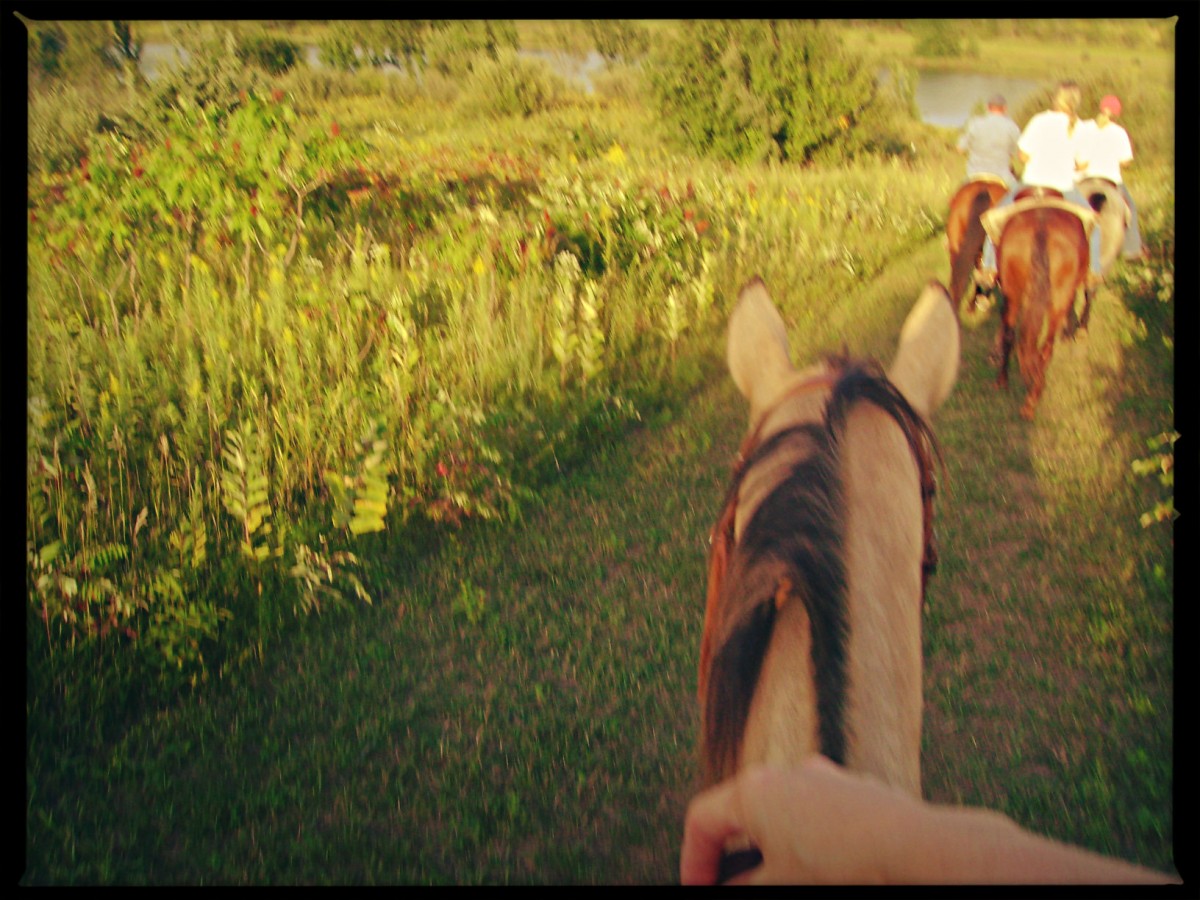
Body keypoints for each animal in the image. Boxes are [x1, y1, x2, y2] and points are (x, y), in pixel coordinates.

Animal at [993, 196, 1089, 420]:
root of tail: (1041, 228)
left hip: (1012, 294)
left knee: (1011, 335)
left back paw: (1003, 381)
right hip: (1058, 300)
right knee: (1046, 348)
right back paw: (1032, 401)